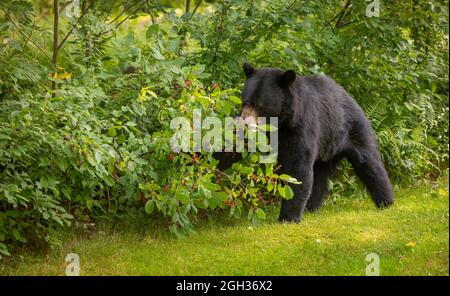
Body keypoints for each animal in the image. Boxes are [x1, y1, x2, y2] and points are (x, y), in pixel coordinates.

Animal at [236, 63, 394, 222]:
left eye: (259, 105)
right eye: (244, 102)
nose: (245, 124)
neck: (281, 122)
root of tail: (349, 96)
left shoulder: (302, 125)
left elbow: (298, 166)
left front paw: (288, 217)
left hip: (354, 129)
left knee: (369, 163)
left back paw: (386, 201)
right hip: (326, 149)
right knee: (319, 176)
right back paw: (310, 207)